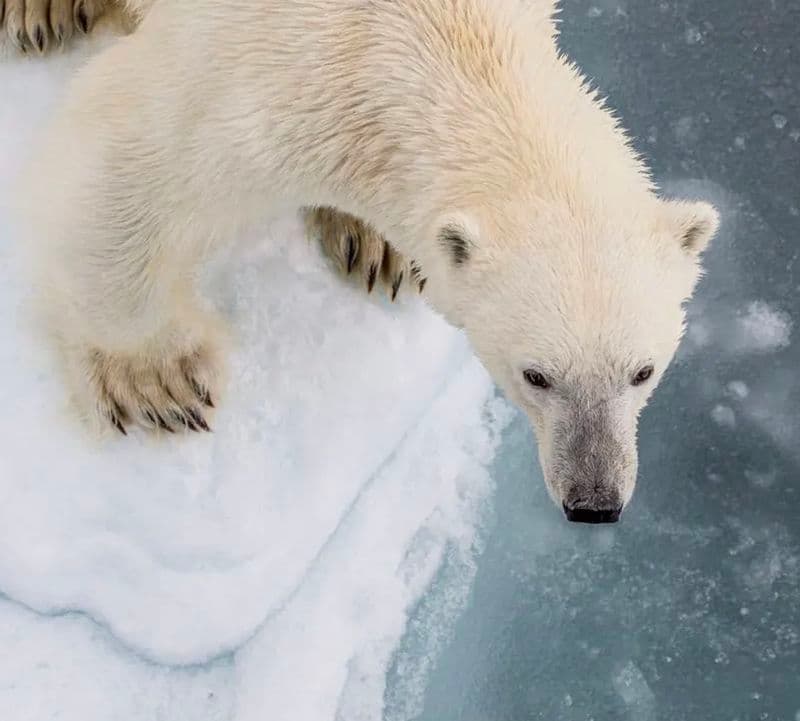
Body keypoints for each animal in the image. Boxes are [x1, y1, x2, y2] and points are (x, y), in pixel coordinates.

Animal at [15, 0, 719, 523]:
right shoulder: (260, 76)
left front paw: (378, 240)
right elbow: (125, 158)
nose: (594, 503)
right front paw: (157, 380)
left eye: (643, 371)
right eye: (536, 375)